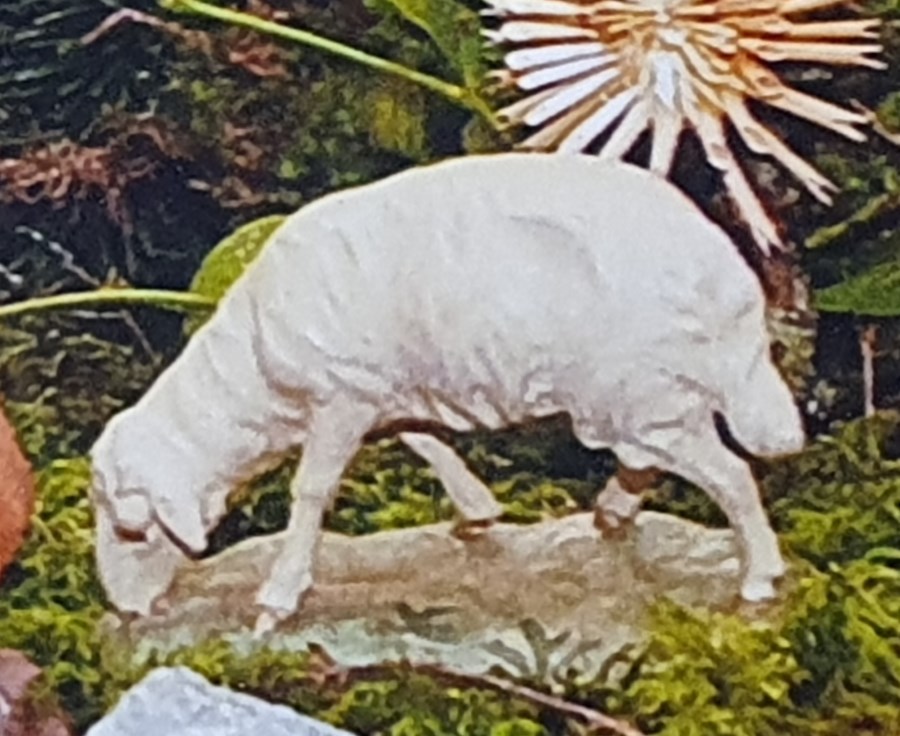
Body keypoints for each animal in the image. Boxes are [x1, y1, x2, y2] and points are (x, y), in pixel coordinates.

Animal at [89, 152, 805, 633]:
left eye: (132, 531)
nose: (126, 610)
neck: (254, 377)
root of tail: (732, 283)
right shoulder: (386, 391)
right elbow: (426, 442)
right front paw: (478, 512)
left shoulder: (342, 397)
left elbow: (311, 490)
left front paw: (278, 598)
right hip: (635, 397)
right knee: (652, 459)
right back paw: (613, 510)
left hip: (647, 390)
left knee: (731, 473)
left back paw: (759, 579)